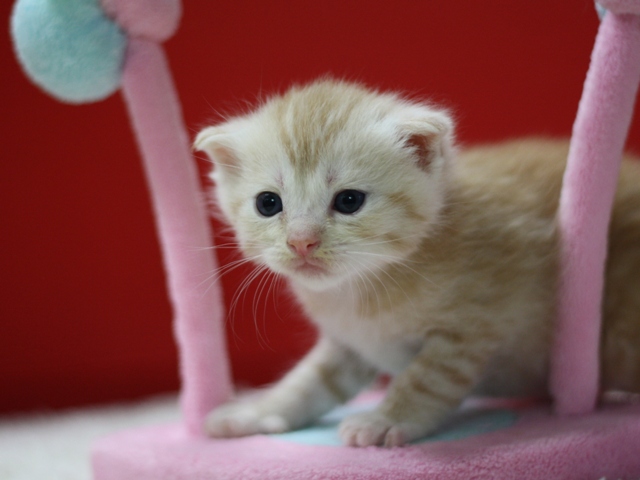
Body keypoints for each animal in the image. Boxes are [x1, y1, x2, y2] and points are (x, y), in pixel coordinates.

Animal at [192, 79, 640, 446]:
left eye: (349, 201)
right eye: (268, 203)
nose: (301, 242)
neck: (358, 291)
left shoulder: (472, 323)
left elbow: (426, 378)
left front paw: (385, 419)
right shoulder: (348, 344)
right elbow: (310, 382)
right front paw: (256, 410)